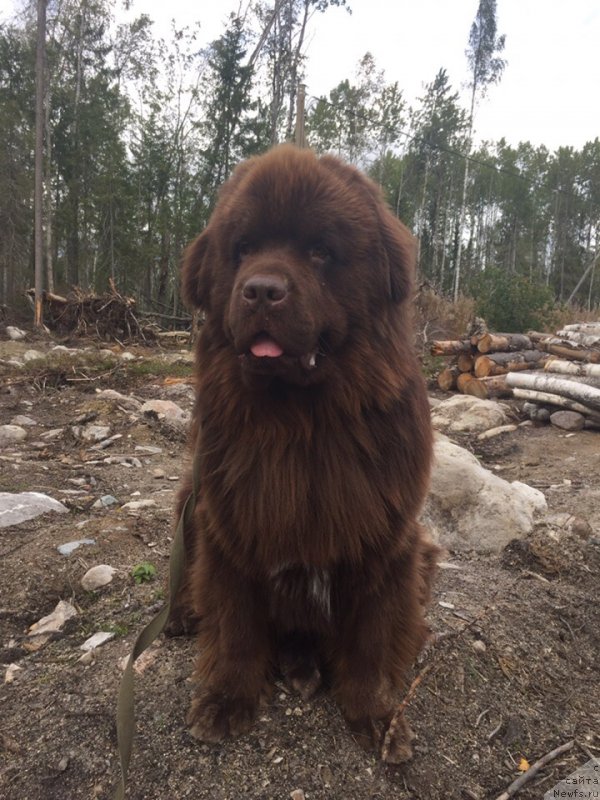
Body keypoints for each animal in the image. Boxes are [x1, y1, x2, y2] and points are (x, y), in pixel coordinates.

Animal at [169, 144, 436, 764]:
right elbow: (236, 623)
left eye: (320, 251)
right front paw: (227, 698)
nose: (261, 290)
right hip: (190, 498)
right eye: (243, 248)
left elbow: (370, 637)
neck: (299, 425)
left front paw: (376, 714)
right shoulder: (230, 525)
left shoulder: (385, 539)